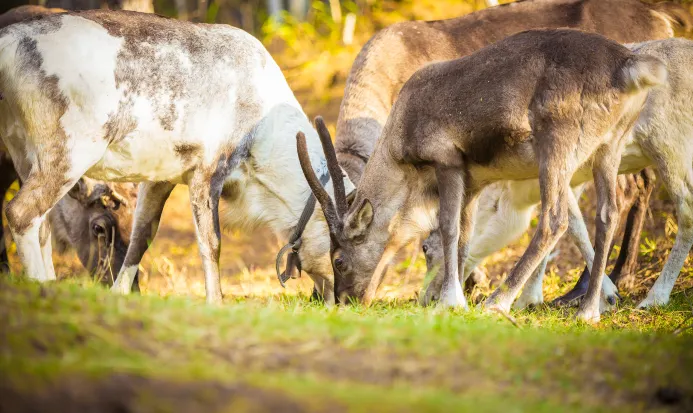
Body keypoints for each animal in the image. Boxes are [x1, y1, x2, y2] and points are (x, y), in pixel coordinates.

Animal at [0, 10, 353, 304]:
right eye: (339, 253)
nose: (344, 301)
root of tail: (8, 43)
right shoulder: (207, 171)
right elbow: (211, 244)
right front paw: (216, 303)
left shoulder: (160, 178)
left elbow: (141, 236)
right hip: (69, 153)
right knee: (21, 213)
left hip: (24, 153)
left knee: (42, 225)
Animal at [333, 0, 692, 306]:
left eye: (338, 260)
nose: (340, 300)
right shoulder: (475, 175)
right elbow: (465, 229)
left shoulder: (449, 160)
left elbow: (448, 228)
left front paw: (455, 295)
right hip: (609, 147)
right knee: (613, 205)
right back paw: (592, 296)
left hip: (590, 145)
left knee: (574, 212)